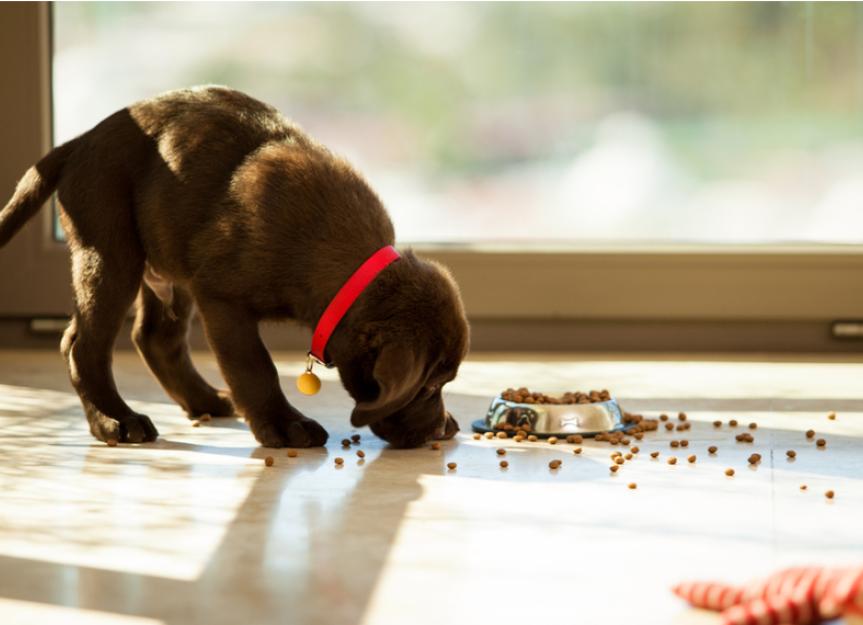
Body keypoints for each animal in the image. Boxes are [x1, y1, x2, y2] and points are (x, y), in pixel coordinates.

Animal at [0, 86, 470, 448]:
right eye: (430, 385)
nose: (441, 431)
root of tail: (78, 143)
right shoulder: (223, 299)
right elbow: (255, 366)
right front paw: (285, 424)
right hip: (111, 251)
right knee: (83, 344)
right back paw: (114, 421)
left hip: (168, 262)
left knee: (154, 338)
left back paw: (206, 401)